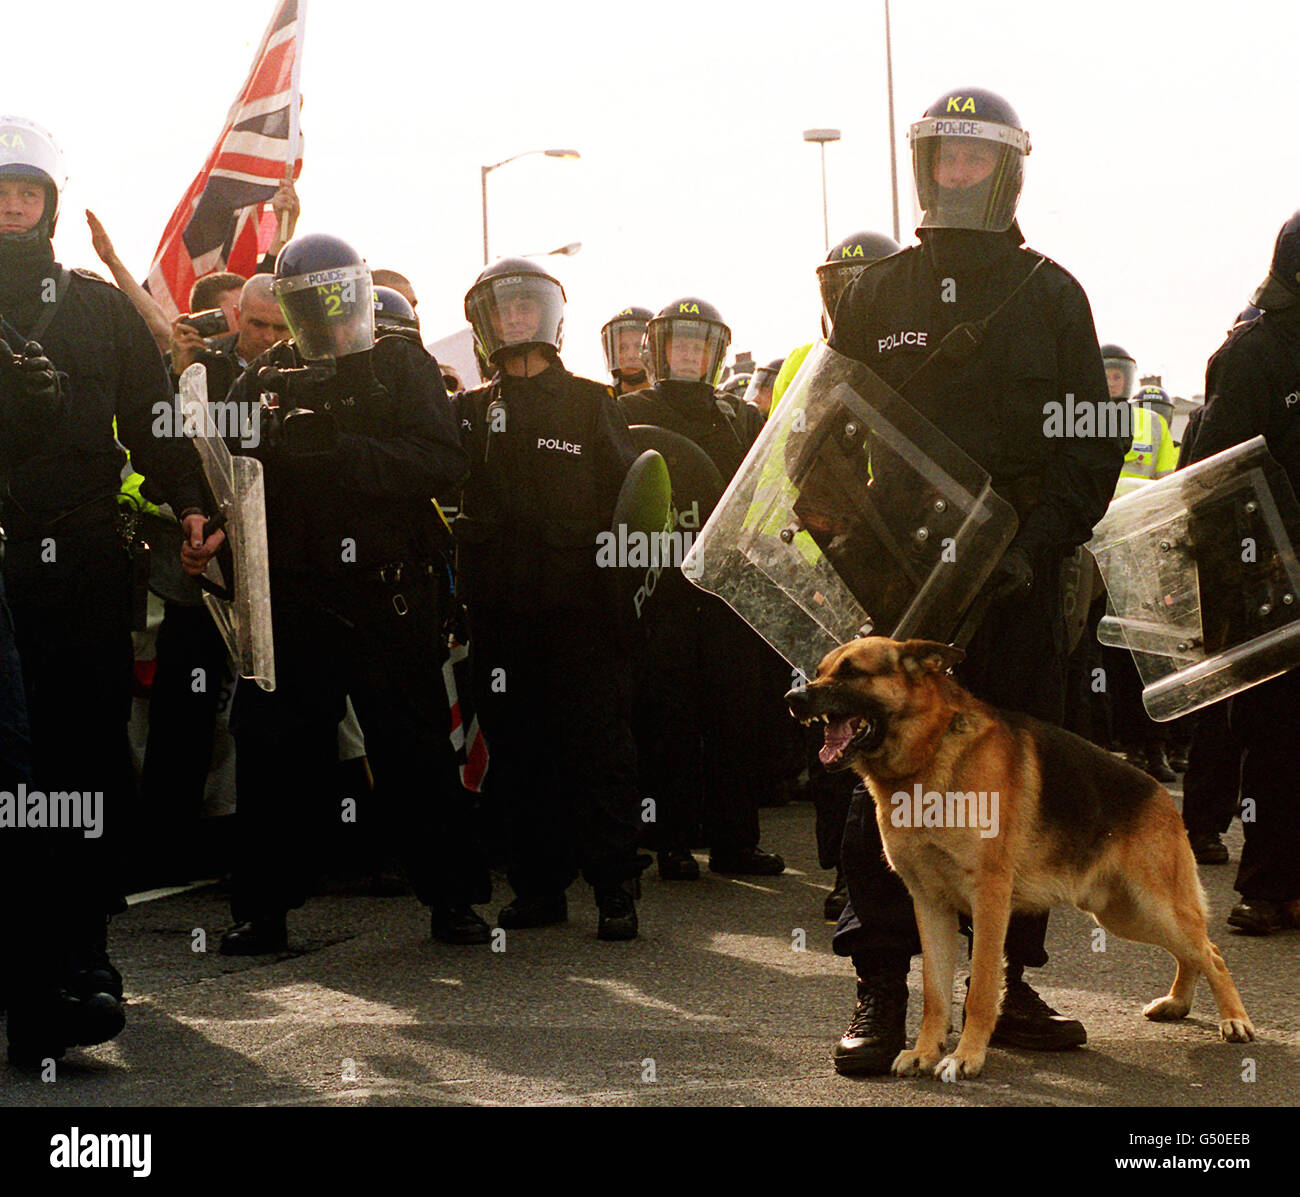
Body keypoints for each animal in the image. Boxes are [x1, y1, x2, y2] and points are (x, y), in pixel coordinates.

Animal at [785, 634, 1253, 1081]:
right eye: (821, 671)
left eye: (851, 672)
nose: (793, 698)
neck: (930, 754)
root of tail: (1160, 794)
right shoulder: (930, 904)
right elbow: (934, 992)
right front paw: (924, 1051)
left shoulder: (990, 899)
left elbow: (980, 987)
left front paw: (966, 1057)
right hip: (1123, 914)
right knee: (1192, 953)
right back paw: (1178, 1002)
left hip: (1153, 908)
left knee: (1211, 952)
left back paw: (1234, 1020)